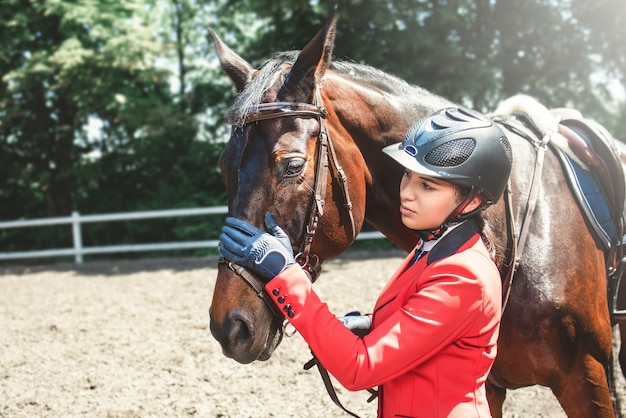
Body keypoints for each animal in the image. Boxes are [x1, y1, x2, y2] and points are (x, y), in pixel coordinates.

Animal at [208, 13, 620, 418]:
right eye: (224, 167)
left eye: (292, 166)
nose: (229, 327)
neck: (513, 232)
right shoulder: (488, 386)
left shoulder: (585, 376)